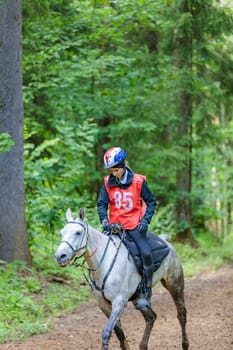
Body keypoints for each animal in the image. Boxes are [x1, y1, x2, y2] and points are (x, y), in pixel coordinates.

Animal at [54, 209, 189, 348]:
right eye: (62, 232)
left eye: (78, 232)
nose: (60, 256)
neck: (103, 263)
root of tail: (165, 241)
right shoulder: (104, 305)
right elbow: (120, 334)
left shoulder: (119, 302)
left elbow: (107, 333)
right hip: (138, 298)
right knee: (151, 317)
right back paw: (143, 346)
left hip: (175, 285)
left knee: (181, 314)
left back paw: (185, 344)